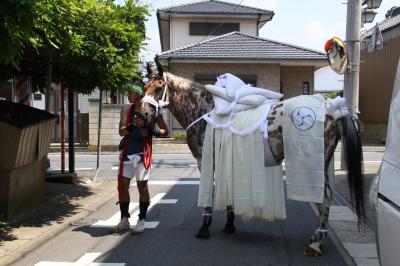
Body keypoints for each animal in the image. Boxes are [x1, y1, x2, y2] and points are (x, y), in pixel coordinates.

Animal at [144, 61, 366, 256]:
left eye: (159, 88)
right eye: (145, 87)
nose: (143, 113)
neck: (203, 110)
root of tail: (332, 110)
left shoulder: (204, 160)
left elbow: (210, 194)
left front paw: (205, 227)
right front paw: (230, 222)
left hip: (312, 165)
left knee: (324, 196)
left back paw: (316, 242)